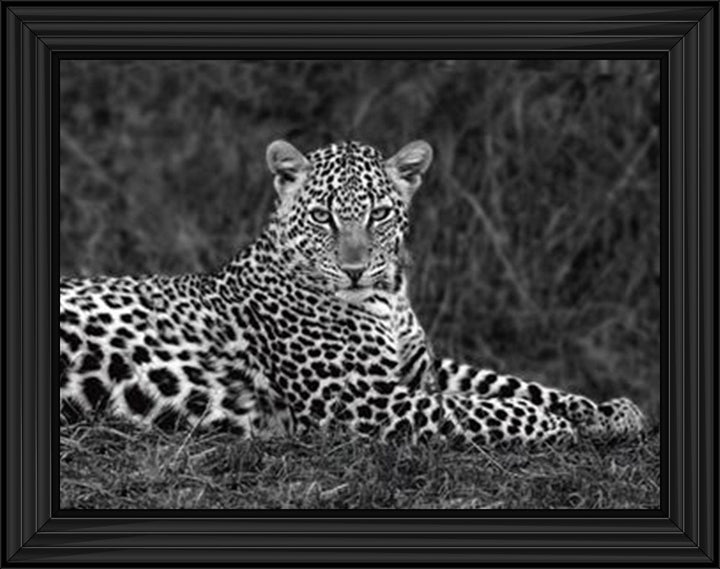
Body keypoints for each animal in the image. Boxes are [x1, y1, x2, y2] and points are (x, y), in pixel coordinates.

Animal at [60, 139, 647, 448]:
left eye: (379, 213)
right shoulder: (358, 400)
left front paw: (607, 411)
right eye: (323, 216)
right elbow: (477, 410)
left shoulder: (420, 369)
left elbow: (505, 383)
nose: (356, 270)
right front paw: (557, 424)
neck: (389, 297)